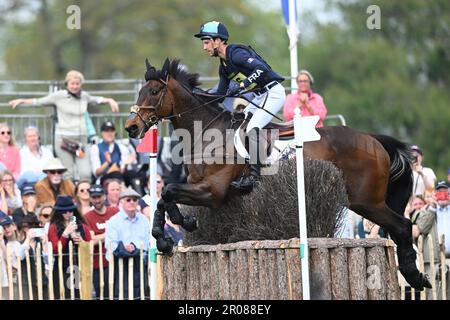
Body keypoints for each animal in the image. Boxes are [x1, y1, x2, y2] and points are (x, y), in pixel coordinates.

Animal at [124, 57, 432, 290]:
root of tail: (372, 138)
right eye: (140, 91)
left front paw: (170, 232)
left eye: (154, 92)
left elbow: (168, 191)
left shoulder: (213, 192)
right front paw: (173, 230)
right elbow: (165, 196)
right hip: (366, 202)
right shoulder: (198, 187)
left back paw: (416, 278)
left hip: (367, 201)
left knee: (403, 226)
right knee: (400, 227)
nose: (131, 127)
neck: (206, 131)